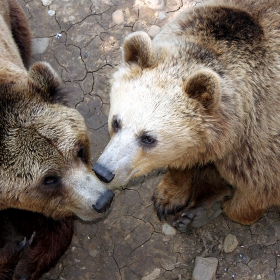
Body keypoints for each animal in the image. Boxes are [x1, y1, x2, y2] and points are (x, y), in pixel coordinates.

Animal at [93, 0, 280, 232]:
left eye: (148, 138)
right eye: (116, 122)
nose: (103, 171)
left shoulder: (259, 141)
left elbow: (255, 193)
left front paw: (213, 207)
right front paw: (168, 197)